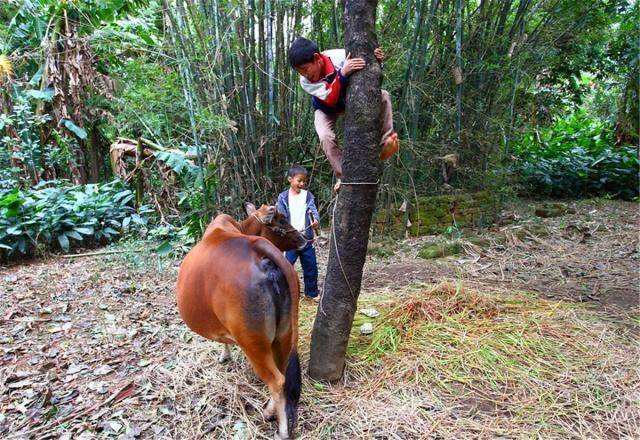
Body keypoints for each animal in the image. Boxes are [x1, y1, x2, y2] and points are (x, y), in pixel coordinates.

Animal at [174, 205, 306, 438]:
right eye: (282, 220)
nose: (304, 239)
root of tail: (255, 245)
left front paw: (224, 355)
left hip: (253, 343)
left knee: (276, 380)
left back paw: (282, 430)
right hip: (284, 334)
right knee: (283, 373)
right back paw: (270, 411)